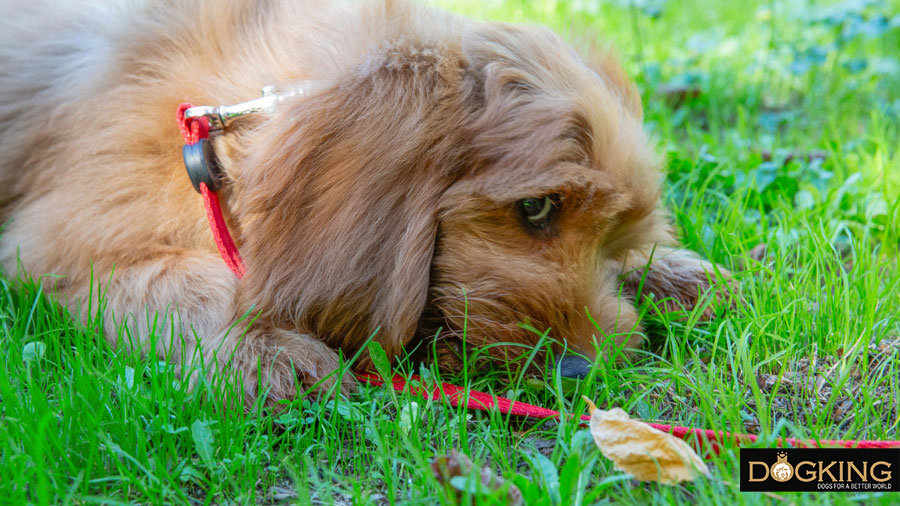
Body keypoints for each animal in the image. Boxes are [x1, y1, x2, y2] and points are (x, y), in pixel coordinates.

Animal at [0, 0, 728, 404]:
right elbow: (186, 281)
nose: (583, 372)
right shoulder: (60, 244)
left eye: (614, 234)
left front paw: (668, 272)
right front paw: (264, 348)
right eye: (537, 207)